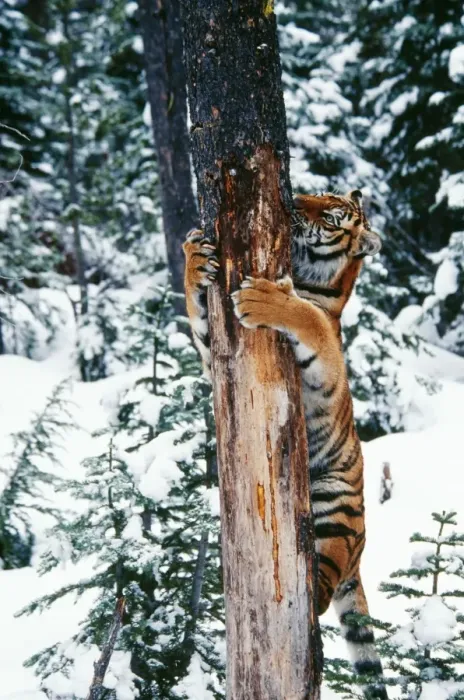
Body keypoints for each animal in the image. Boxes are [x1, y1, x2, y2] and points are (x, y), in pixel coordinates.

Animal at [183, 189, 387, 699]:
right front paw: (195, 255)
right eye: (322, 192)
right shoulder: (213, 353)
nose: (295, 199)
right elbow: (196, 312)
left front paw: (263, 297)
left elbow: (307, 317)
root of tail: (359, 556)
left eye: (332, 216)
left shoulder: (327, 362)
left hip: (335, 508)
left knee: (317, 599)